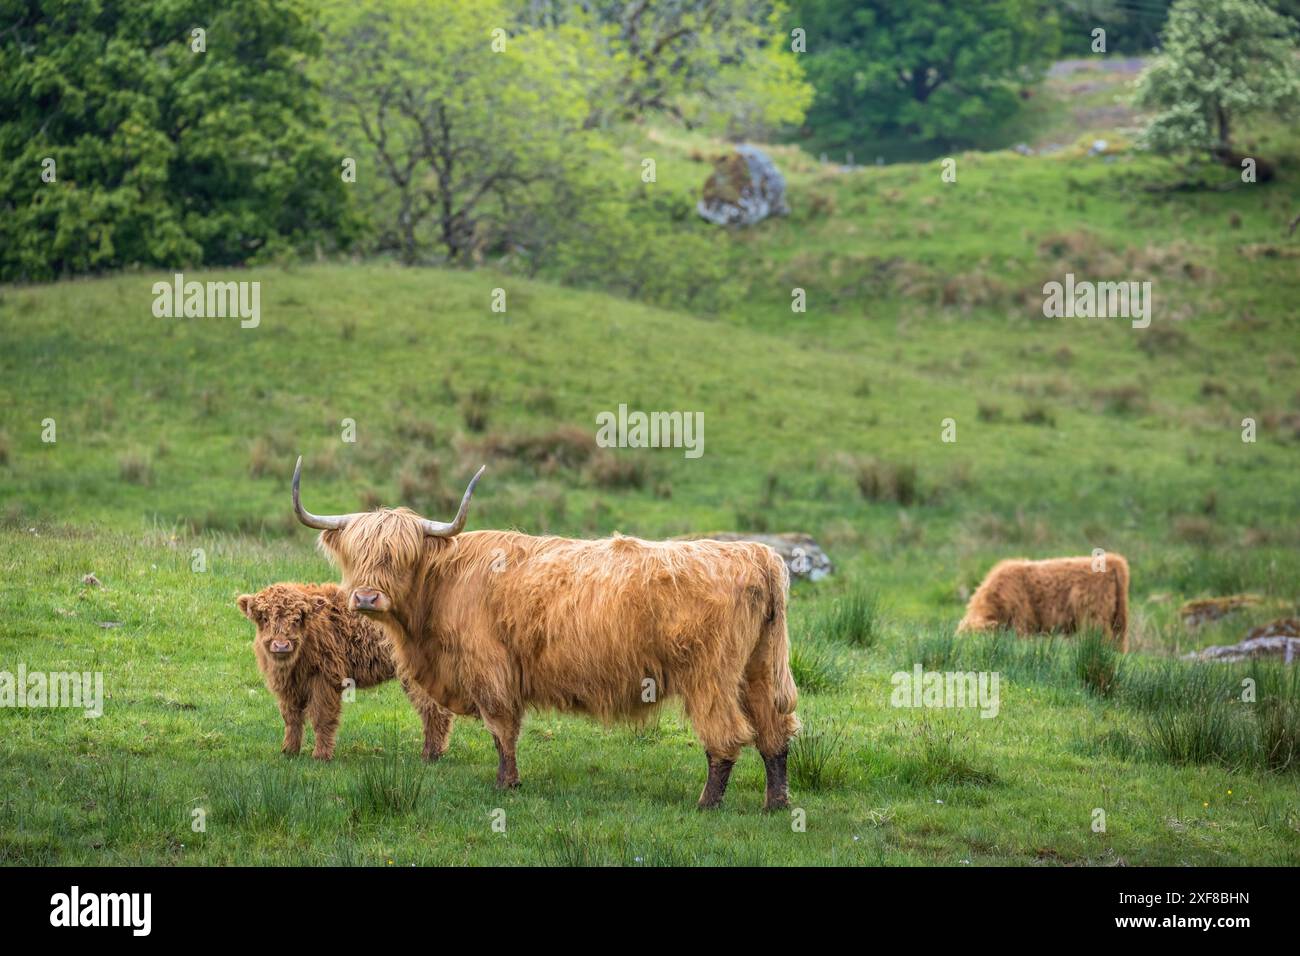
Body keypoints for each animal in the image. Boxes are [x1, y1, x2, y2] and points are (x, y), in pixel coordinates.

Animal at [237, 582, 453, 760]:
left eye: (298, 618)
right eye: (265, 618)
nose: (281, 645)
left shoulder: (325, 679)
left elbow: (322, 717)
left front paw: (321, 755)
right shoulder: (287, 686)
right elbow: (291, 718)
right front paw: (289, 751)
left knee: (433, 709)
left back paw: (430, 754)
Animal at [290, 457, 800, 810]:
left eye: (400, 555)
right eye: (357, 553)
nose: (366, 598)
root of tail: (755, 554)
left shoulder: (491, 670)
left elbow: (502, 730)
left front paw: (506, 784)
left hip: (709, 675)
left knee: (728, 736)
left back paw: (707, 804)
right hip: (761, 667)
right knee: (774, 732)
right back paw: (776, 804)